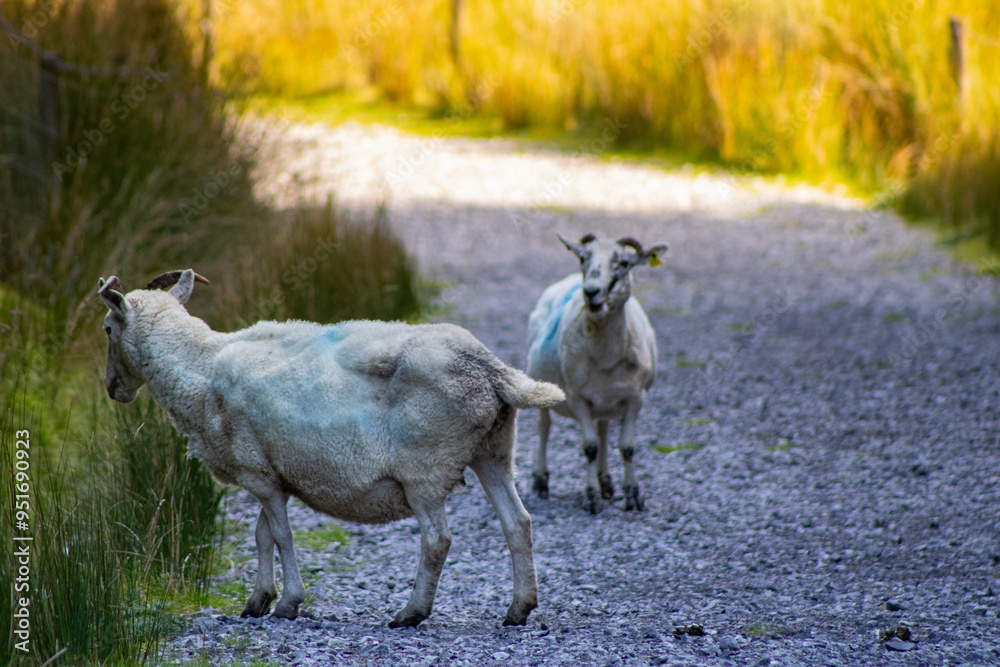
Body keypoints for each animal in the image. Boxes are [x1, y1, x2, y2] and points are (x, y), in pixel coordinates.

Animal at [97, 269, 564, 627]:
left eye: (106, 329)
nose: (112, 389)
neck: (199, 364)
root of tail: (492, 370)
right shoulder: (274, 474)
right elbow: (262, 535)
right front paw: (257, 601)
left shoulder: (256, 470)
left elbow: (281, 535)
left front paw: (287, 603)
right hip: (494, 451)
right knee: (518, 523)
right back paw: (519, 608)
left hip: (426, 468)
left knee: (437, 540)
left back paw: (411, 613)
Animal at [526, 234, 668, 514]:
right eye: (583, 258)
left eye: (624, 263)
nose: (591, 292)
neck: (605, 357)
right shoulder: (576, 397)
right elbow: (589, 447)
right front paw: (591, 498)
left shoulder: (636, 398)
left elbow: (627, 448)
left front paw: (633, 496)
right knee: (544, 427)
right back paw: (541, 481)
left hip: (606, 400)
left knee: (603, 430)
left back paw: (606, 482)